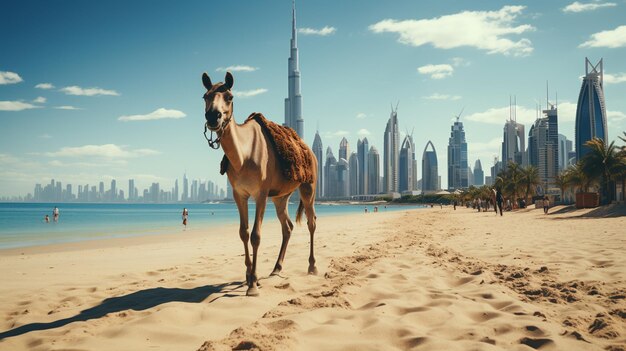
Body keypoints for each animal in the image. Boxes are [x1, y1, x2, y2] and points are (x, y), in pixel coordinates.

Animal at [201, 71, 316, 296]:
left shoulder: (261, 194)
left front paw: (253, 284)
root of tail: (310, 152)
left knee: (311, 222)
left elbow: (255, 235)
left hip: (309, 187)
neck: (244, 155)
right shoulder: (239, 194)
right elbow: (243, 233)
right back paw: (276, 268)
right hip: (281, 197)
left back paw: (312, 266)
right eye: (205, 96)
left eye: (230, 96)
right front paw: (247, 277)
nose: (212, 116)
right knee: (287, 226)